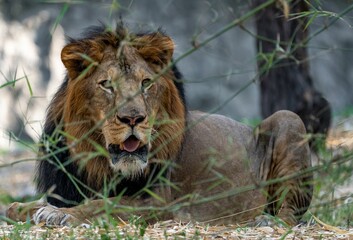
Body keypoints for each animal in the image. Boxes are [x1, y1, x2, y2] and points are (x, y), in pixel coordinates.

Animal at [6, 22, 312, 227]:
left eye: (146, 83)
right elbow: (21, 207)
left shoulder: (161, 203)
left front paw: (59, 214)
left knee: (290, 212)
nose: (133, 118)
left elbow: (103, 204)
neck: (98, 164)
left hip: (289, 120)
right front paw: (24, 207)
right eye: (107, 85)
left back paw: (267, 222)